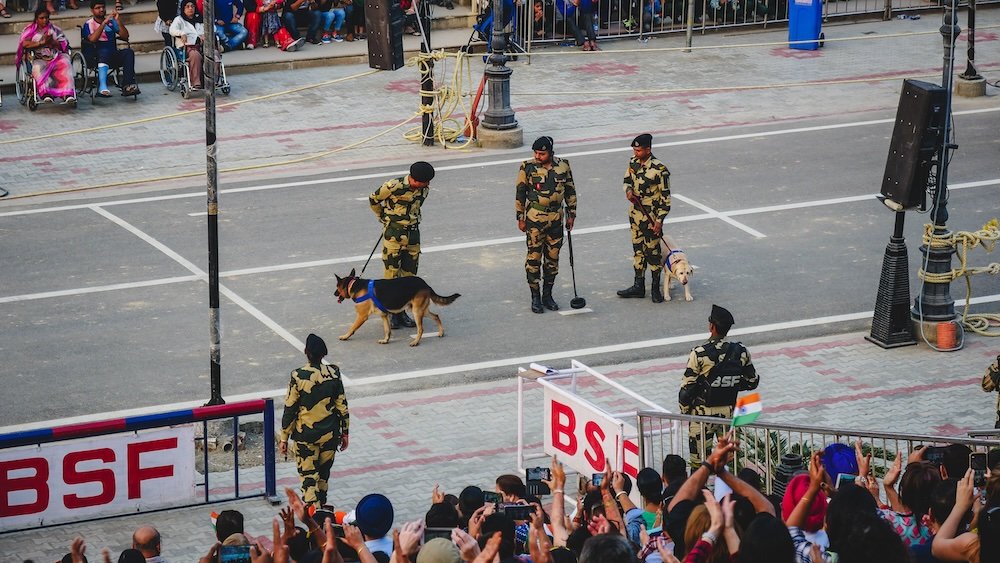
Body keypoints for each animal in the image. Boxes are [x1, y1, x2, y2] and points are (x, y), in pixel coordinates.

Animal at [334, 268, 462, 344]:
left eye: (337, 287)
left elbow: (352, 328)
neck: (353, 285)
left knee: (421, 329)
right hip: (421, 309)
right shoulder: (384, 315)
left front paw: (345, 336)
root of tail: (426, 284)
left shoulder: (361, 316)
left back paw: (416, 342)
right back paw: (441, 332)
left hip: (417, 311)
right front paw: (386, 340)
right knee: (436, 316)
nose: (334, 294)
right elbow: (387, 330)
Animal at [516, 136, 580, 312]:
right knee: (533, 265)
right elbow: (521, 192)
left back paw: (546, 300)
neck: (546, 163)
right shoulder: (522, 172)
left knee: (551, 263)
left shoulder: (568, 175)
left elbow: (570, 190)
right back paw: (537, 302)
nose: (537, 156)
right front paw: (536, 302)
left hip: (555, 233)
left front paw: (548, 299)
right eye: (537, 152)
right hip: (535, 236)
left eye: (542, 152)